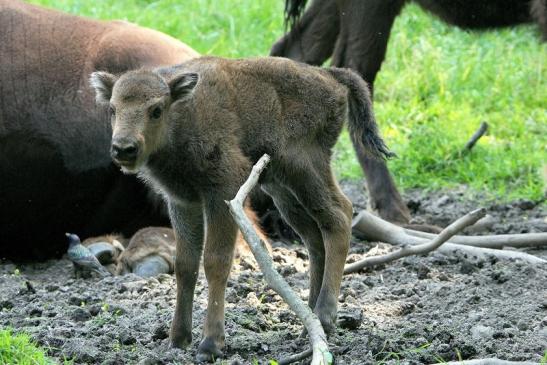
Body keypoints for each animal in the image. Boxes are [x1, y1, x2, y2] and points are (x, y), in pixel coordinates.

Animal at [90, 55, 392, 360]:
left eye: (156, 109)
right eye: (113, 109)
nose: (124, 148)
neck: (183, 112)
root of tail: (331, 76)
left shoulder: (222, 192)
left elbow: (216, 261)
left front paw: (210, 344)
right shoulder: (183, 202)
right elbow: (185, 265)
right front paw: (177, 339)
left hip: (305, 168)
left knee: (339, 215)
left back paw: (325, 316)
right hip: (283, 190)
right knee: (315, 238)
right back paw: (309, 320)